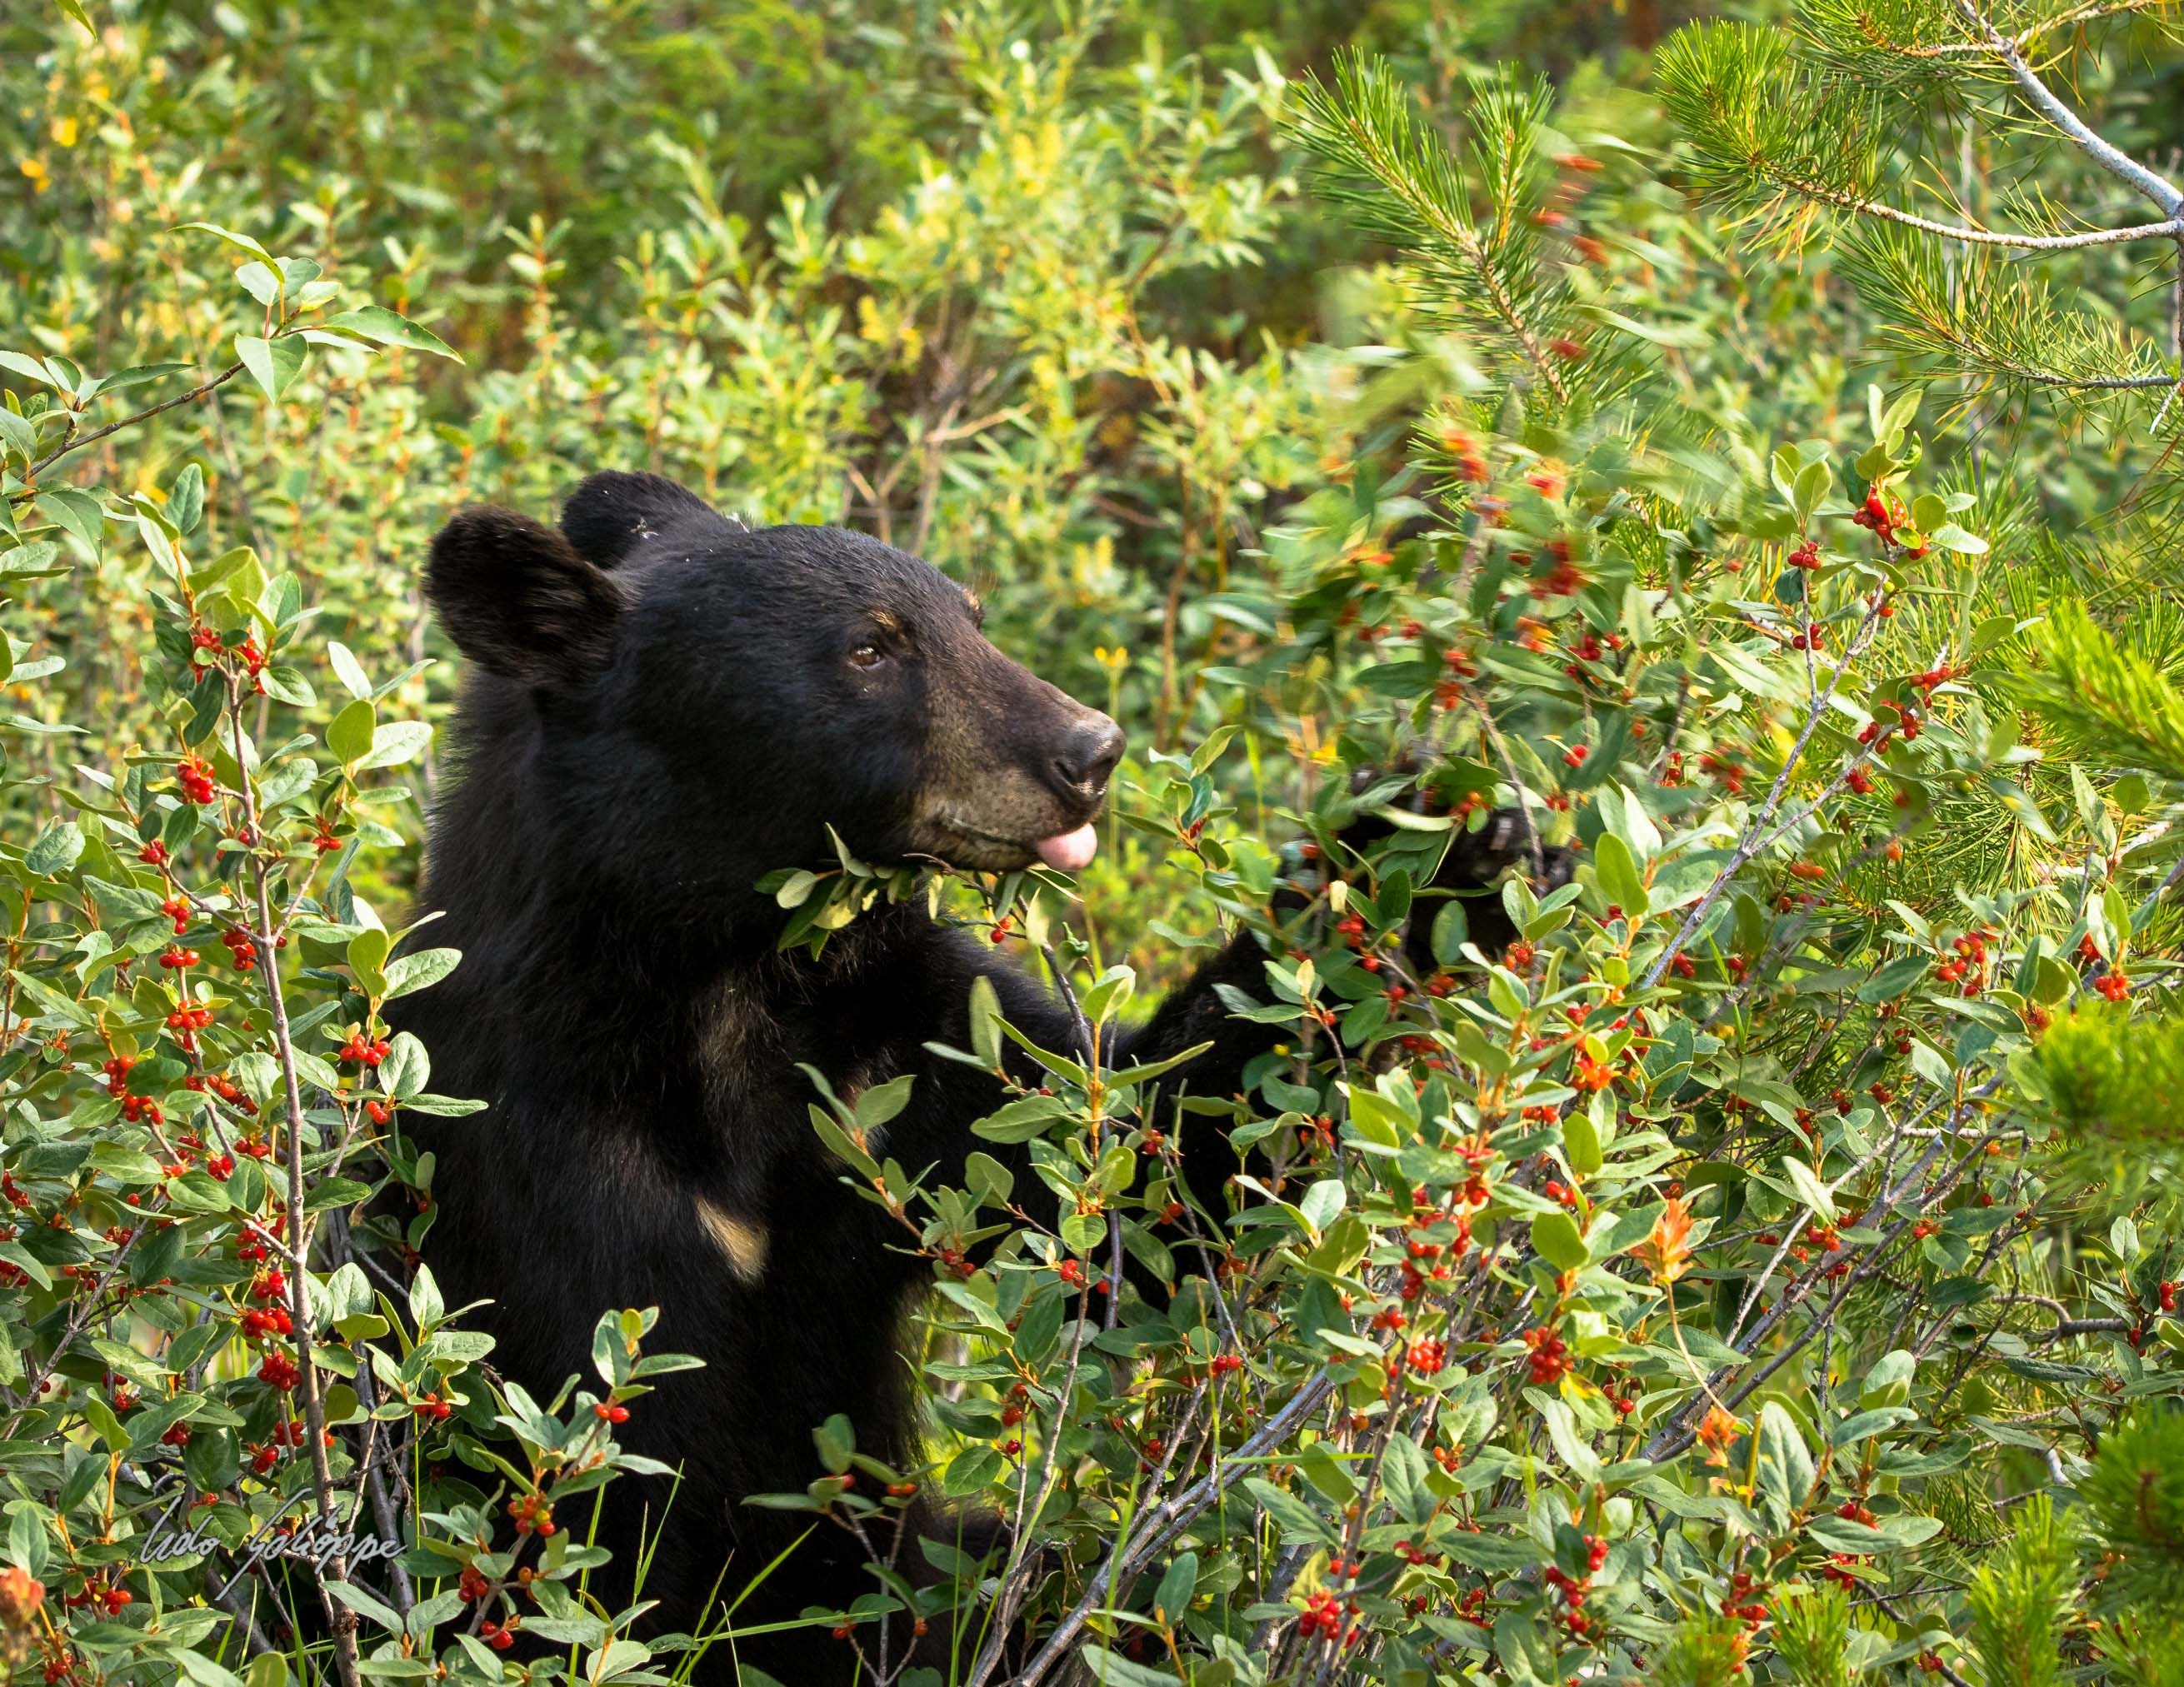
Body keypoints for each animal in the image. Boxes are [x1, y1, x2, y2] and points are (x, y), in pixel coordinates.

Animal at [392, 470, 1550, 1683]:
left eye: (972, 616)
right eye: (869, 649)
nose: (1092, 749)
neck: (725, 982)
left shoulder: (899, 1054)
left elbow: (1134, 1161)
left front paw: (1443, 851)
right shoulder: (547, 1152)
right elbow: (631, 1476)